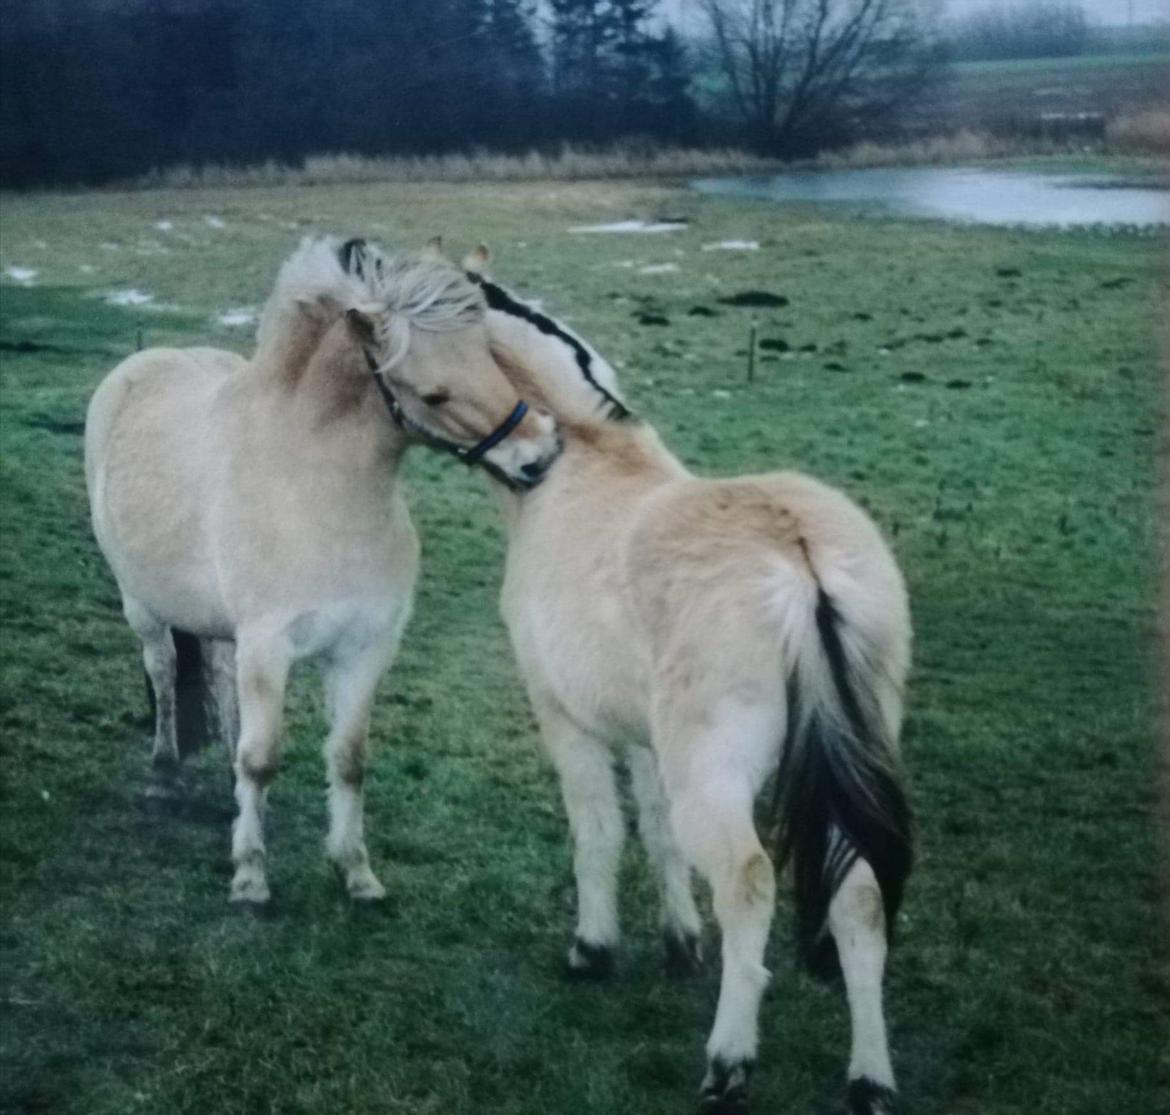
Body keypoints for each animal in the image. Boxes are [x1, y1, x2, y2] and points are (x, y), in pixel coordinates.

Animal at [84, 237, 559, 903]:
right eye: (434, 394)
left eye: (491, 357)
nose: (539, 455)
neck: (319, 495)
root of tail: (144, 361)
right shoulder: (268, 647)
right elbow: (263, 758)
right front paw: (251, 877)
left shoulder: (365, 650)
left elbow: (348, 759)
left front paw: (355, 871)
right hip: (142, 605)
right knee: (164, 668)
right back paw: (164, 771)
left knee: (218, 680)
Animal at [465, 252, 912, 1113]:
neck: (581, 465)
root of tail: (801, 561)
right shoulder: (645, 737)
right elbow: (657, 831)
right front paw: (678, 945)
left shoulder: (565, 718)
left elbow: (599, 830)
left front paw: (592, 950)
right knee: (862, 896)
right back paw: (870, 1076)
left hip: (714, 778)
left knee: (748, 881)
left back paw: (728, 1059)